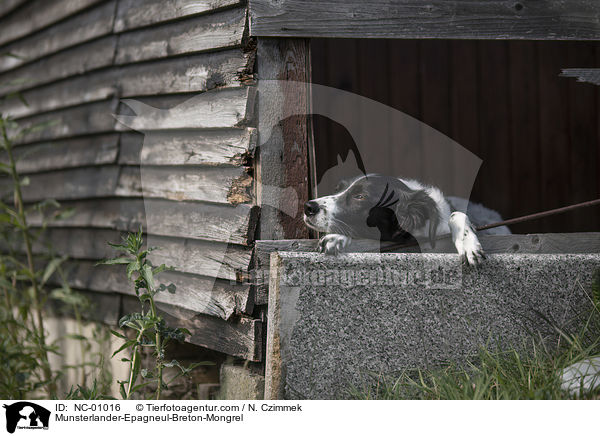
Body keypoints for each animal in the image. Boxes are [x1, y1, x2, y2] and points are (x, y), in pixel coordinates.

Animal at [302, 175, 508, 266]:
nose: (308, 206)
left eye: (359, 196)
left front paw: (467, 243)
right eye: (339, 190)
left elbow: (455, 214)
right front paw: (335, 237)